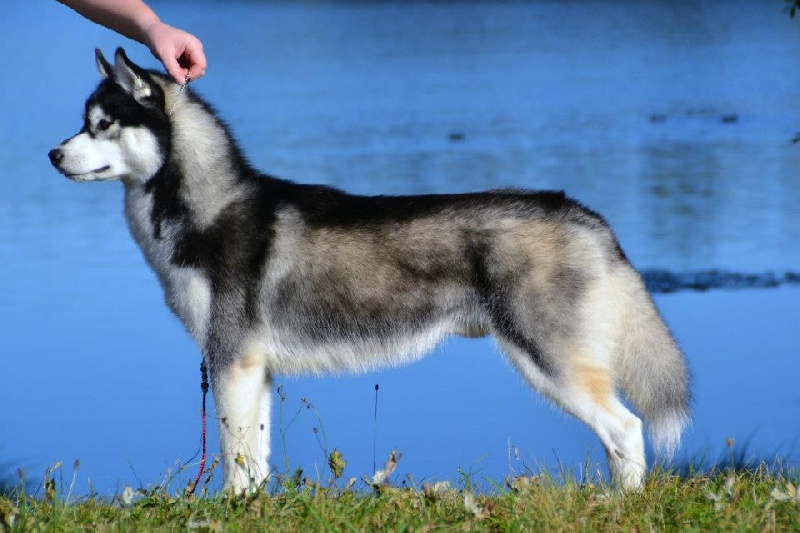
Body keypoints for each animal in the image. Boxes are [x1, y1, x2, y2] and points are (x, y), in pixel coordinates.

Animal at [49, 48, 690, 493]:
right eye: (84, 121)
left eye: (103, 124)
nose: (53, 154)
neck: (205, 207)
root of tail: (584, 213)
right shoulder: (252, 368)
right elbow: (254, 461)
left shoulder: (229, 359)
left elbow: (233, 455)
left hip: (548, 357)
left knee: (626, 428)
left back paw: (621, 505)